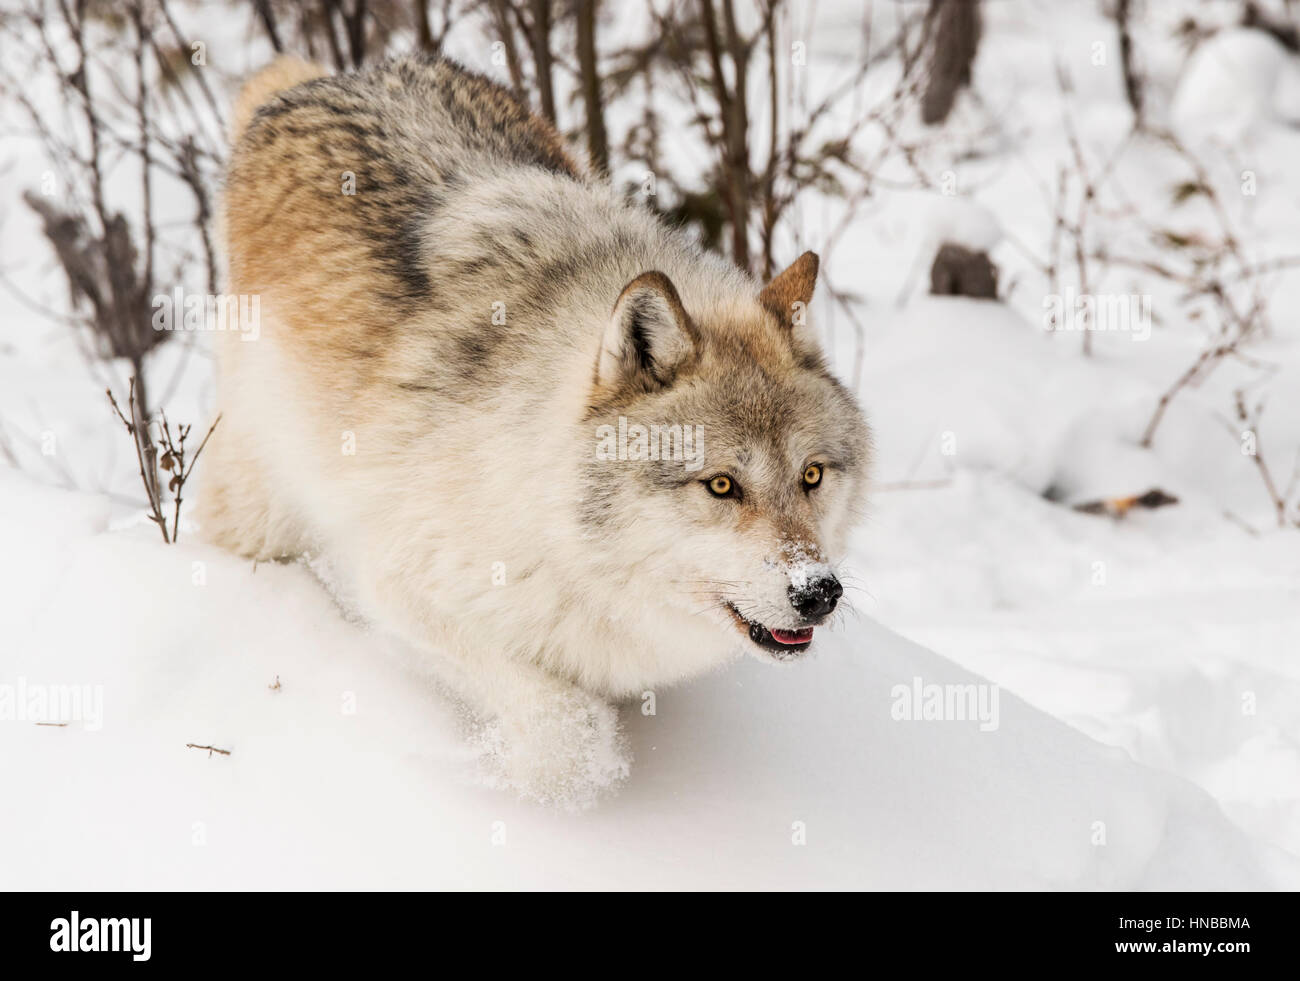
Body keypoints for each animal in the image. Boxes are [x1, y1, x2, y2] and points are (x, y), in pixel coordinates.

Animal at [201, 54, 871, 803]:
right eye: (722, 485)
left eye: (811, 475)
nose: (819, 591)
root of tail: (323, 77)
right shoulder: (408, 586)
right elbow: (565, 735)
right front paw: (521, 778)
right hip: (264, 502)